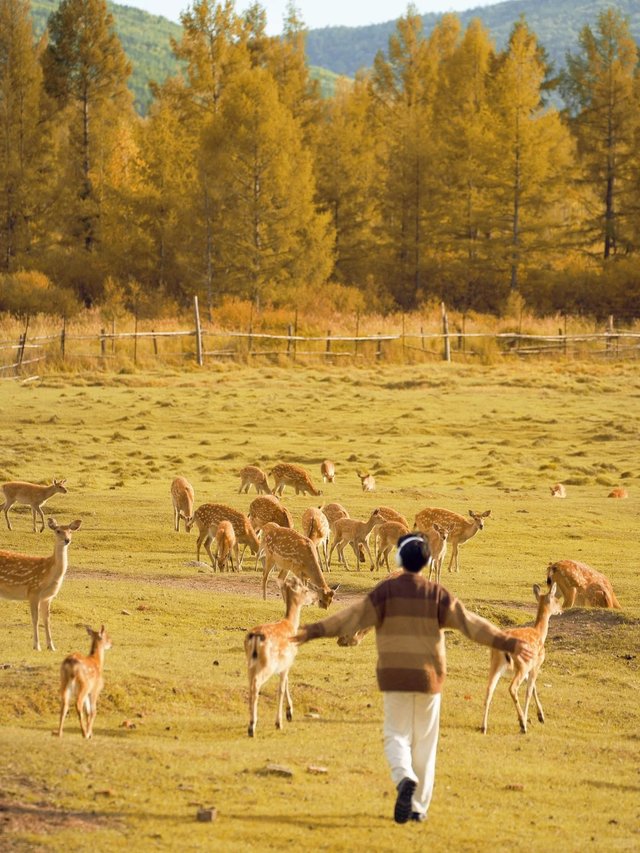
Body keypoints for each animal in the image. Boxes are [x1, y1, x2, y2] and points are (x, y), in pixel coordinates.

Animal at [0, 516, 82, 648]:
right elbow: (35, 619)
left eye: (70, 531)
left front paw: (51, 646)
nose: (67, 540)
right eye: (58, 530)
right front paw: (36, 646)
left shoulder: (47, 597)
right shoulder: (33, 591)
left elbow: (46, 620)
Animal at [244, 576, 316, 736]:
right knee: (256, 685)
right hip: (267, 664)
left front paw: (290, 713)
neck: (290, 625)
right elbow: (281, 689)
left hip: (250, 664)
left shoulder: (285, 664)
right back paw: (252, 726)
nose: (314, 597)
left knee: (250, 685)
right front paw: (280, 722)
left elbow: (287, 683)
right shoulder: (288, 661)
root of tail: (255, 638)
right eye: (306, 590)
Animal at [480, 584, 560, 736]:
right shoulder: (535, 665)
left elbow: (533, 688)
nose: (561, 610)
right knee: (513, 688)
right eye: (556, 599)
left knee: (489, 689)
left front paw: (540, 716)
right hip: (521, 666)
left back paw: (483, 727)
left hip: (495, 664)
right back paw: (523, 724)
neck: (540, 634)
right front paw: (529, 719)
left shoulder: (529, 668)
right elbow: (529, 691)